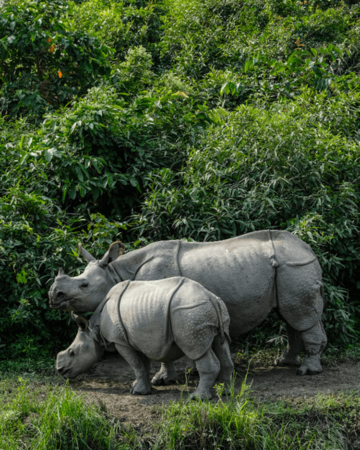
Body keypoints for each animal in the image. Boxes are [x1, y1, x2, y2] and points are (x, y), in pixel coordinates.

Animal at [54, 278, 232, 400]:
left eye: (72, 353)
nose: (60, 370)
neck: (94, 331)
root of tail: (211, 298)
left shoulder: (120, 341)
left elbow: (136, 365)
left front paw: (137, 392)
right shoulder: (138, 338)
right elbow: (143, 365)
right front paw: (141, 387)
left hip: (190, 312)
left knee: (197, 350)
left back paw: (197, 398)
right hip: (212, 309)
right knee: (221, 346)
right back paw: (225, 392)